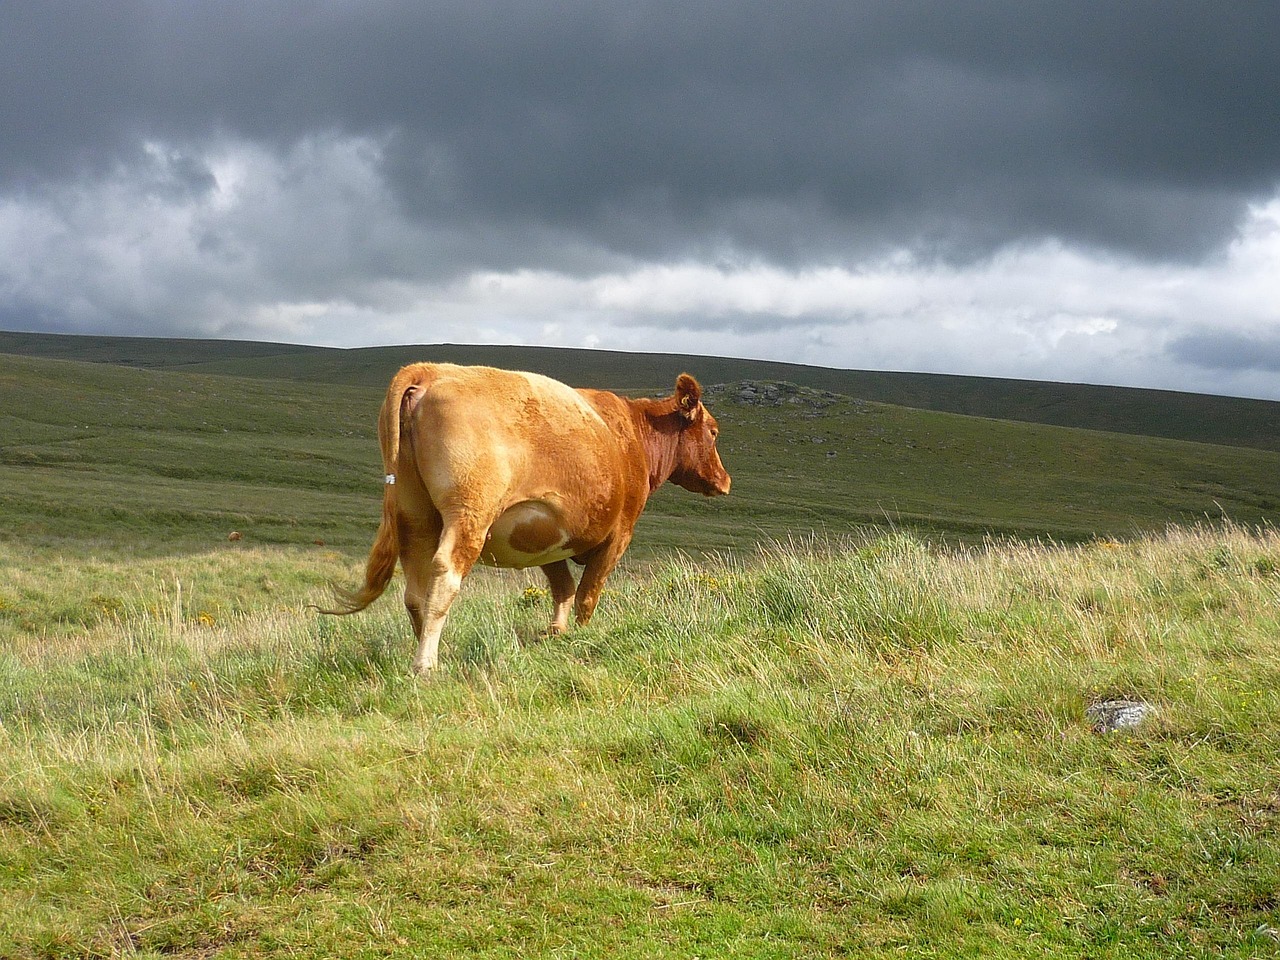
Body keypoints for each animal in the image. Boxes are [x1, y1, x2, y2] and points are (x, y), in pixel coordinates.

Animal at [324, 363, 731, 673]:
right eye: (713, 432)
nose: (725, 480)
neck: (634, 436)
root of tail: (432, 370)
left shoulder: (543, 538)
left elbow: (564, 588)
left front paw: (556, 634)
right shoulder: (619, 534)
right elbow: (587, 595)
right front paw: (581, 637)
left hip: (414, 517)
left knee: (414, 592)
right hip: (469, 514)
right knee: (443, 577)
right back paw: (426, 664)